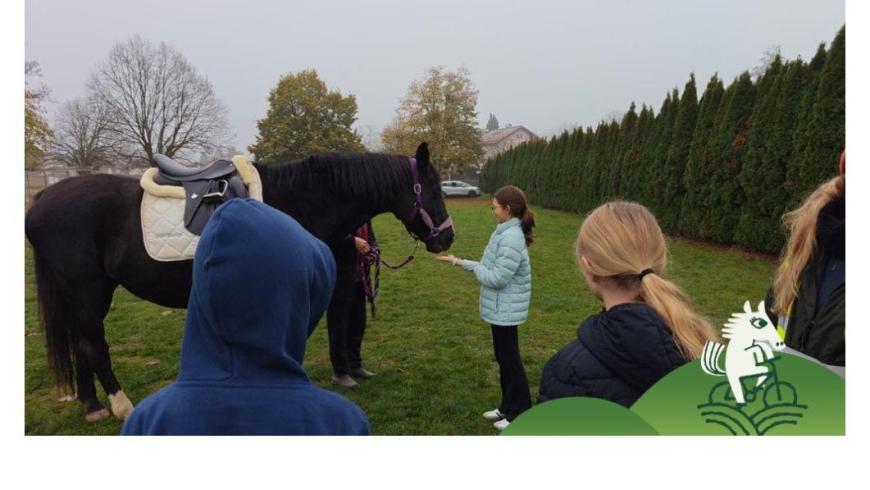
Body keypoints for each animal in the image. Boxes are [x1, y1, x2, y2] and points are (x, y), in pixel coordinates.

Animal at [25, 142, 454, 421]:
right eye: (433, 188)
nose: (447, 237)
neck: (300, 200)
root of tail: (43, 198)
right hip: (87, 290)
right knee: (94, 345)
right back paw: (121, 406)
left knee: (81, 344)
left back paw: (92, 406)